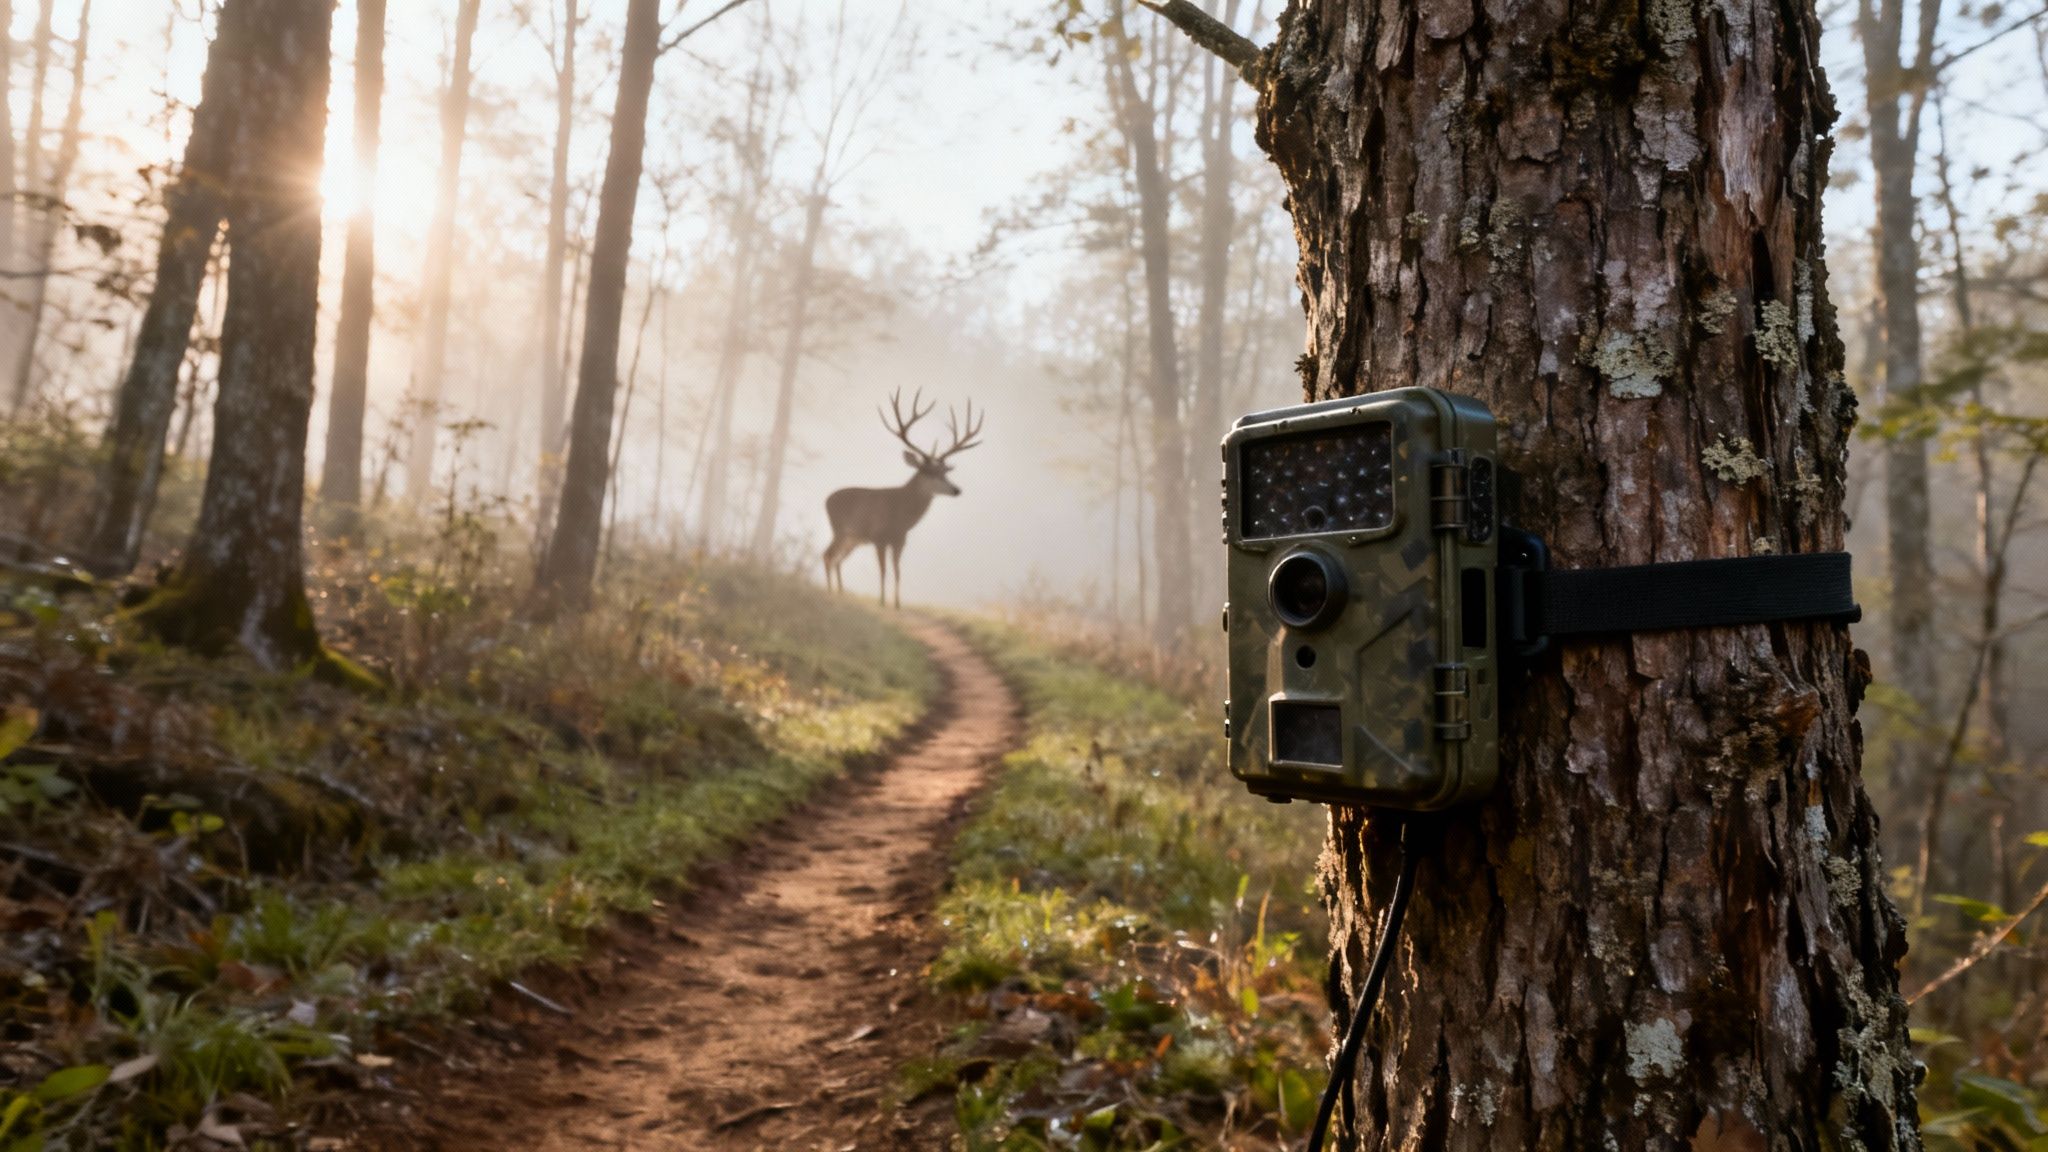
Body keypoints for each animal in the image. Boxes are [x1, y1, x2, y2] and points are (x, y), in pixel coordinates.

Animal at [824, 389, 984, 608]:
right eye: (929, 473)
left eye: (944, 472)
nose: (956, 489)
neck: (900, 514)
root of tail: (826, 499)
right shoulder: (879, 537)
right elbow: (883, 571)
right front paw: (882, 602)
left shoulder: (900, 540)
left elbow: (898, 571)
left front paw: (898, 604)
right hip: (840, 529)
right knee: (828, 555)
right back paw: (831, 592)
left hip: (853, 538)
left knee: (837, 559)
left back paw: (839, 592)